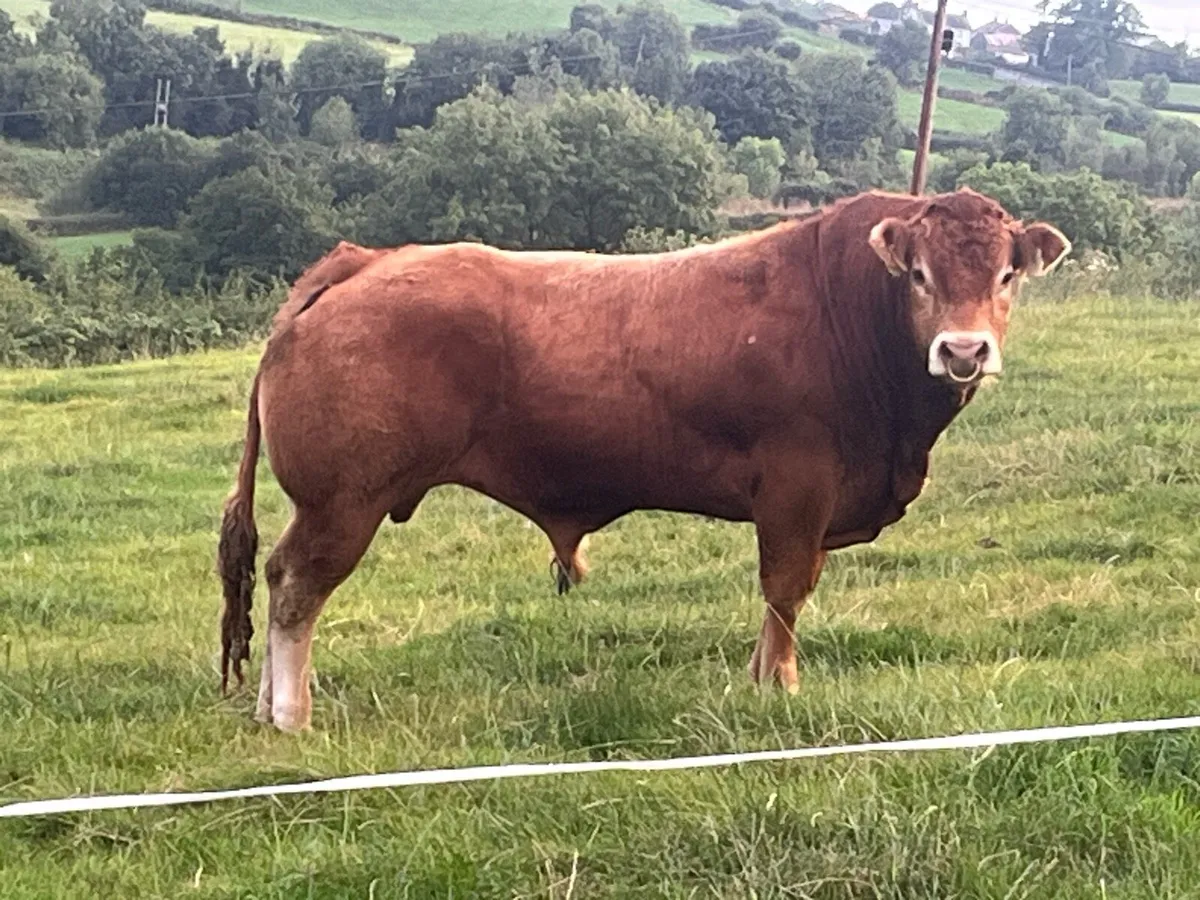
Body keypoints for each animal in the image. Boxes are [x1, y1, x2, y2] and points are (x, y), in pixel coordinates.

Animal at [218, 187, 1070, 733]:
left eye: (1006, 274)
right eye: (920, 274)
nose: (963, 350)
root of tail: (364, 261)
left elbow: (783, 597)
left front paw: (761, 679)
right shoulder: (797, 488)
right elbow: (785, 592)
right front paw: (780, 688)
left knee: (278, 580)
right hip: (343, 502)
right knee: (297, 591)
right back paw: (291, 716)